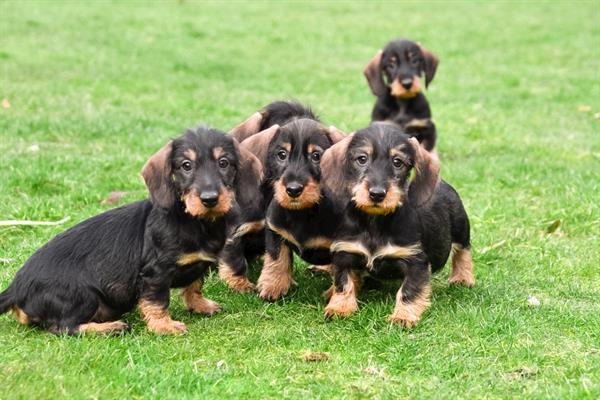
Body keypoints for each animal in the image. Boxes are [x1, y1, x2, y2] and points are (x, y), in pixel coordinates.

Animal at [0, 127, 262, 334]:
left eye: (224, 163)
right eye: (186, 166)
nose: (209, 199)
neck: (195, 221)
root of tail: (16, 288)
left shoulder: (198, 265)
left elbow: (194, 286)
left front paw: (200, 305)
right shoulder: (155, 273)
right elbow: (158, 301)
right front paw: (164, 326)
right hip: (82, 295)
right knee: (63, 327)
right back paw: (110, 327)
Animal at [322, 123, 476, 326]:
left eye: (398, 162)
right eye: (361, 159)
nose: (377, 194)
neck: (375, 223)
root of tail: (441, 182)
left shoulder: (416, 261)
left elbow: (409, 291)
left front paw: (403, 316)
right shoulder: (345, 253)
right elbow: (343, 283)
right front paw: (340, 307)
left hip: (461, 227)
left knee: (463, 252)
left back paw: (463, 278)